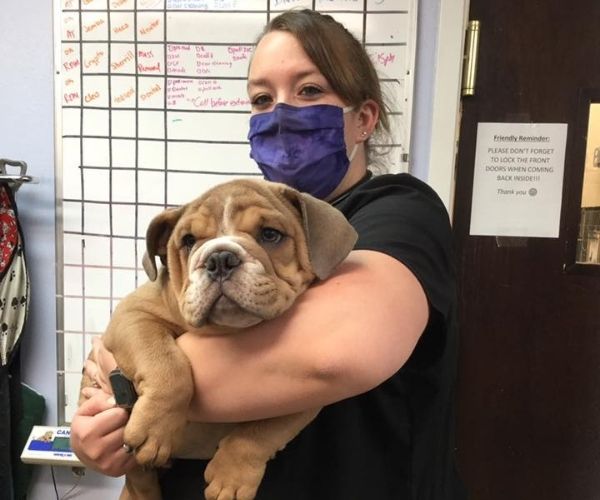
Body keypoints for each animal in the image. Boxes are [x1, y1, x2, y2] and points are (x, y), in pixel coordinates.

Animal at [81, 180, 358, 500]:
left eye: (270, 234)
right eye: (189, 240)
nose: (219, 258)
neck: (228, 331)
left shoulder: (309, 392)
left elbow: (263, 432)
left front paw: (232, 477)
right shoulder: (134, 316)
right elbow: (166, 366)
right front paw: (156, 427)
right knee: (139, 479)